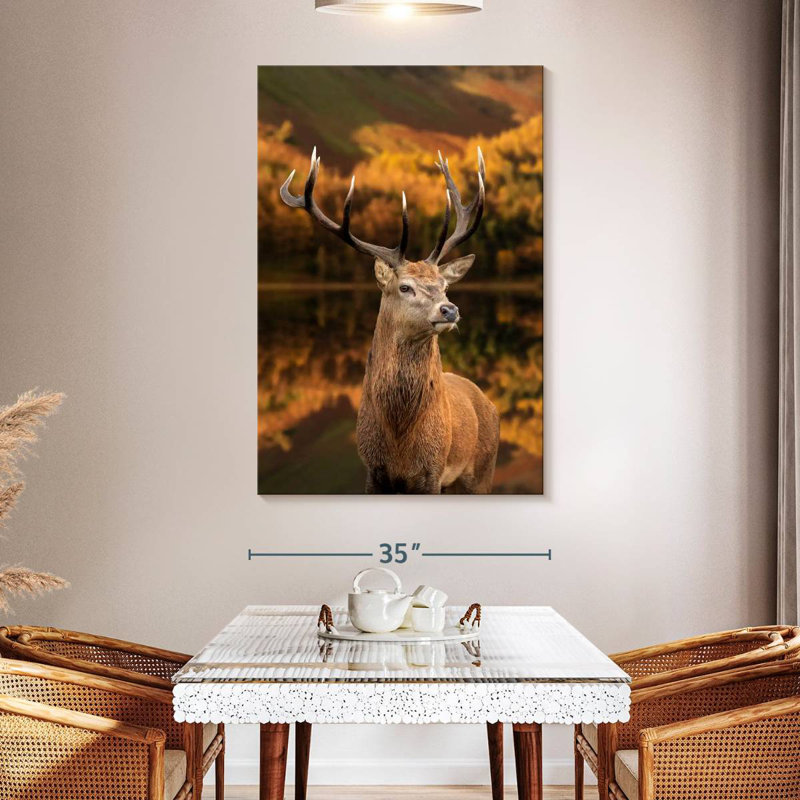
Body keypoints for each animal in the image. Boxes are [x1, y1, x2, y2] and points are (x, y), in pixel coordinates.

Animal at [280, 147, 499, 494]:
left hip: (482, 471)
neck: (399, 443)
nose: (449, 309)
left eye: (445, 286)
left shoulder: (432, 472)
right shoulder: (373, 470)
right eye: (405, 287)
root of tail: (488, 402)